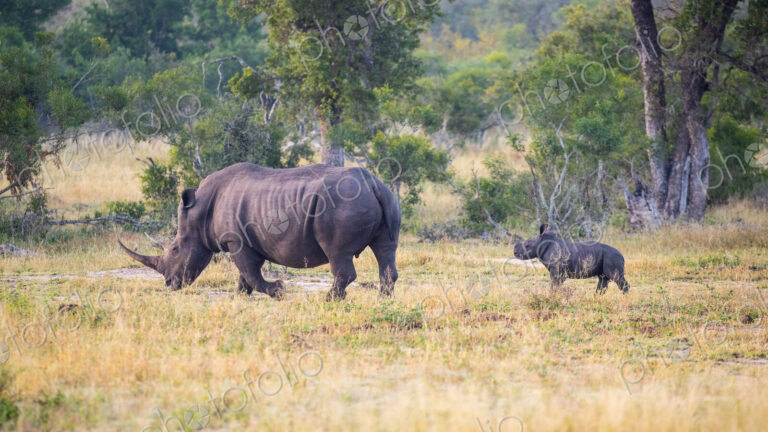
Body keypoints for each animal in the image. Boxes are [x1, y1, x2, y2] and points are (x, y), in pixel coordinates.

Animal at [119, 163, 400, 300]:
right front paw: (239, 297)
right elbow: (245, 275)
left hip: (342, 204)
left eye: (176, 249)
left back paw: (329, 300)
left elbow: (251, 273)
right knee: (385, 249)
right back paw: (383, 300)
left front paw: (279, 291)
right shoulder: (247, 241)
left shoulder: (236, 240)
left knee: (337, 253)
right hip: (387, 196)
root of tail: (372, 183)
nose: (169, 285)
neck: (199, 211)